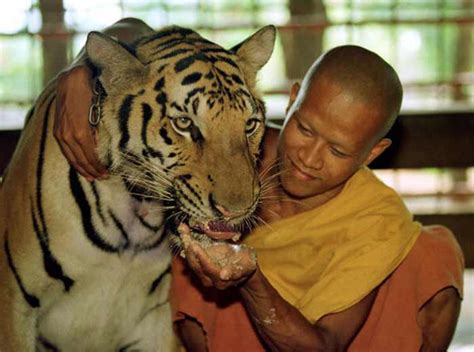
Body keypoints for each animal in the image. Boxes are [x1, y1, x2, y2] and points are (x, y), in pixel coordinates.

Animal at [0, 17, 274, 350]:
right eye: (184, 123)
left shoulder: (154, 320)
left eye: (250, 125)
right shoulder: (13, 306)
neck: (134, 213)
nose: (236, 211)